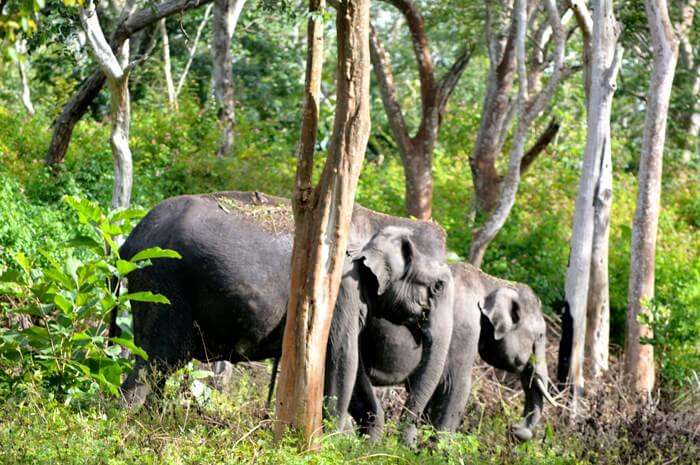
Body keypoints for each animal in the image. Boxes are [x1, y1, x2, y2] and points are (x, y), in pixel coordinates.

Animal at [113, 189, 454, 438]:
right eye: (437, 286)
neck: (379, 219)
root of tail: (129, 240)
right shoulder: (340, 287)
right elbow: (342, 358)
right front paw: (333, 440)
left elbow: (352, 366)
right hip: (162, 283)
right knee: (154, 363)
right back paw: (125, 423)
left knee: (161, 367)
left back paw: (152, 422)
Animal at [350, 260, 552, 442]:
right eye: (541, 335)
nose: (515, 429)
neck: (491, 281)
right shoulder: (463, 326)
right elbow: (455, 384)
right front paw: (436, 451)